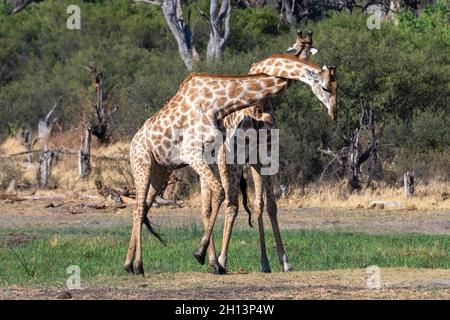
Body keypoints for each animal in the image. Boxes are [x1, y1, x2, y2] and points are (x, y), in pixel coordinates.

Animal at [201, 33, 338, 272]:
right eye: (326, 88)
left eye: (337, 87)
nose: (334, 113)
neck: (259, 105)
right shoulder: (234, 157)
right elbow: (232, 205)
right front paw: (223, 261)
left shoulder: (265, 157)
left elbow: (268, 206)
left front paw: (280, 262)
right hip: (212, 161)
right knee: (209, 205)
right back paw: (212, 260)